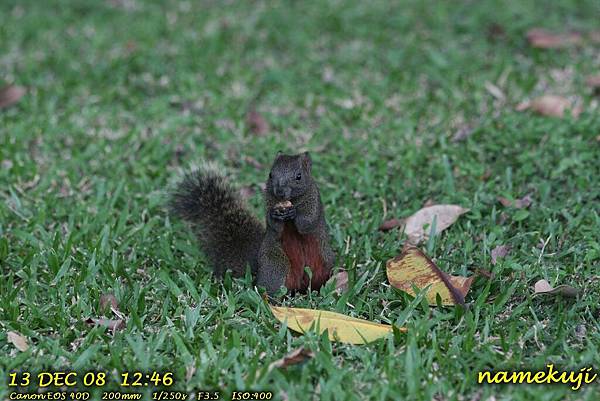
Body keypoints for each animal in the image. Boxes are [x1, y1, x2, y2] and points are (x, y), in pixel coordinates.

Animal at [169, 150, 336, 294]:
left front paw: (294, 214)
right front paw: (275, 215)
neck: (291, 201)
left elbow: (307, 223)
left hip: (324, 262)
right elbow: (274, 226)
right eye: (270, 174)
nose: (279, 192)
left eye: (299, 176)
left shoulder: (313, 201)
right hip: (275, 266)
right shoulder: (268, 201)